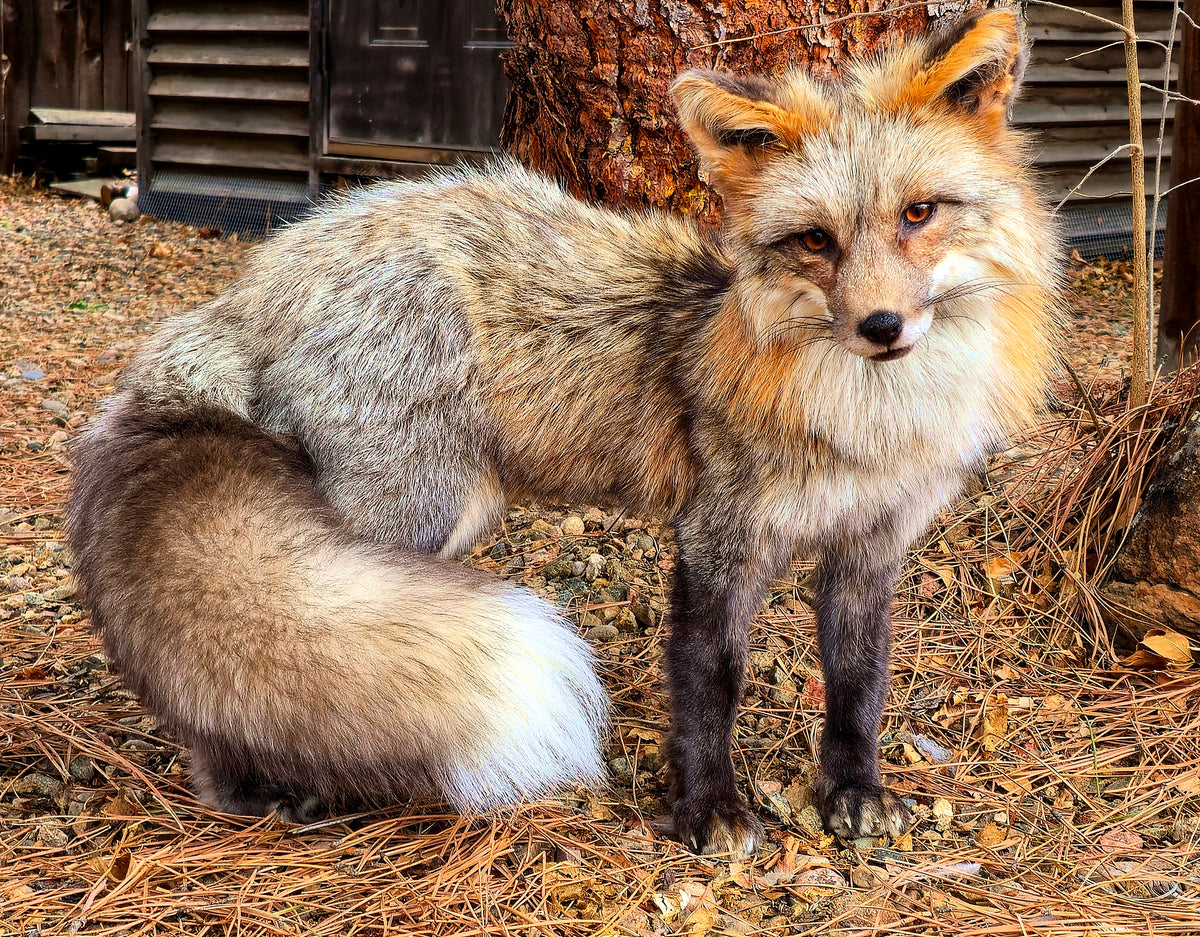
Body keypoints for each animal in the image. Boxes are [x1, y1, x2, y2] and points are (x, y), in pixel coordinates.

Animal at [67, 8, 1060, 855]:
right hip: (408, 516)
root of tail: (260, 276)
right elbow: (710, 684)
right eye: (816, 240)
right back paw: (256, 786)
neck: (868, 422)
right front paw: (707, 809)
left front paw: (852, 790)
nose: (882, 327)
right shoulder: (717, 538)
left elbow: (859, 683)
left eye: (918, 214)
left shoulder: (872, 544)